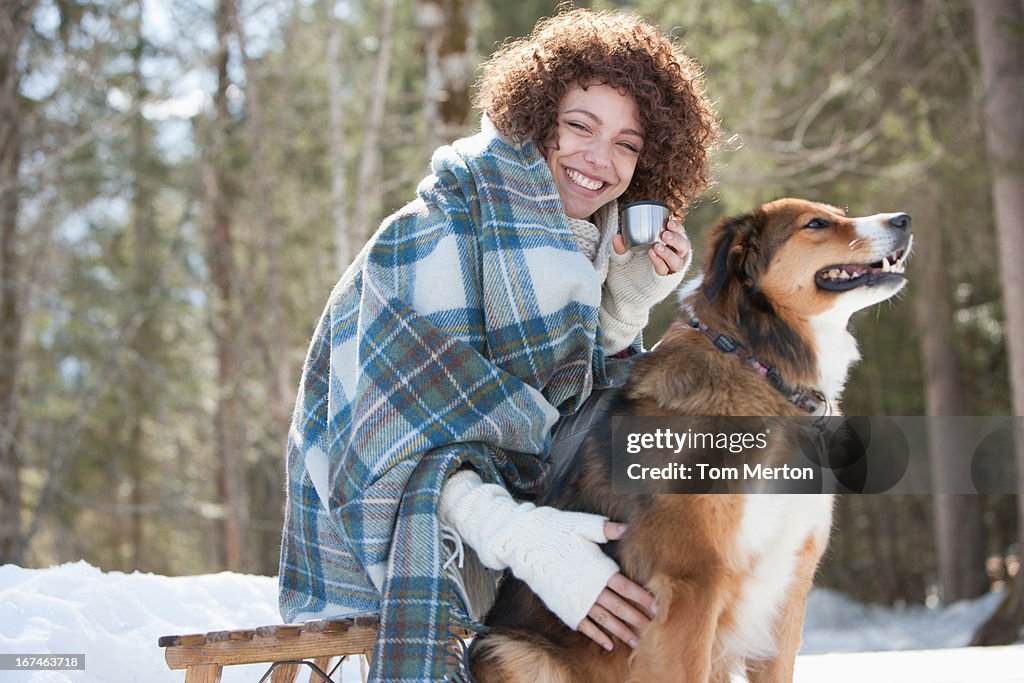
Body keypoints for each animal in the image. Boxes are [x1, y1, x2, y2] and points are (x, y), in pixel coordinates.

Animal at [468, 197, 913, 683]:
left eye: (839, 214)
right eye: (815, 224)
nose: (904, 220)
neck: (758, 366)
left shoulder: (788, 584)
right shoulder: (692, 584)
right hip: (509, 650)